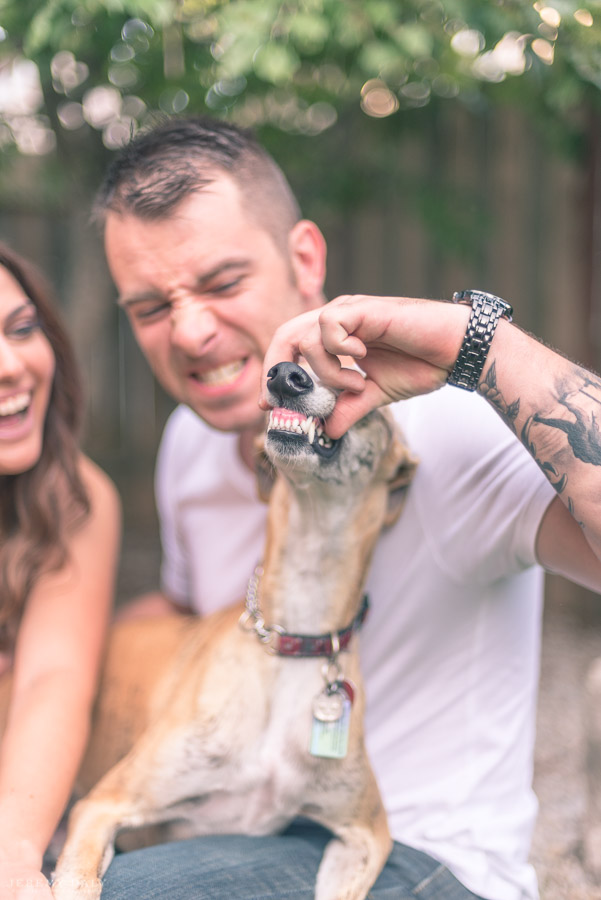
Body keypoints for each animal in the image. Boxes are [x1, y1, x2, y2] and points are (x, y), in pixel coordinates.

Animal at [51, 362, 414, 896]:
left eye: (356, 378)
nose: (286, 375)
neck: (291, 637)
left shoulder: (367, 831)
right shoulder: (103, 804)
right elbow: (76, 879)